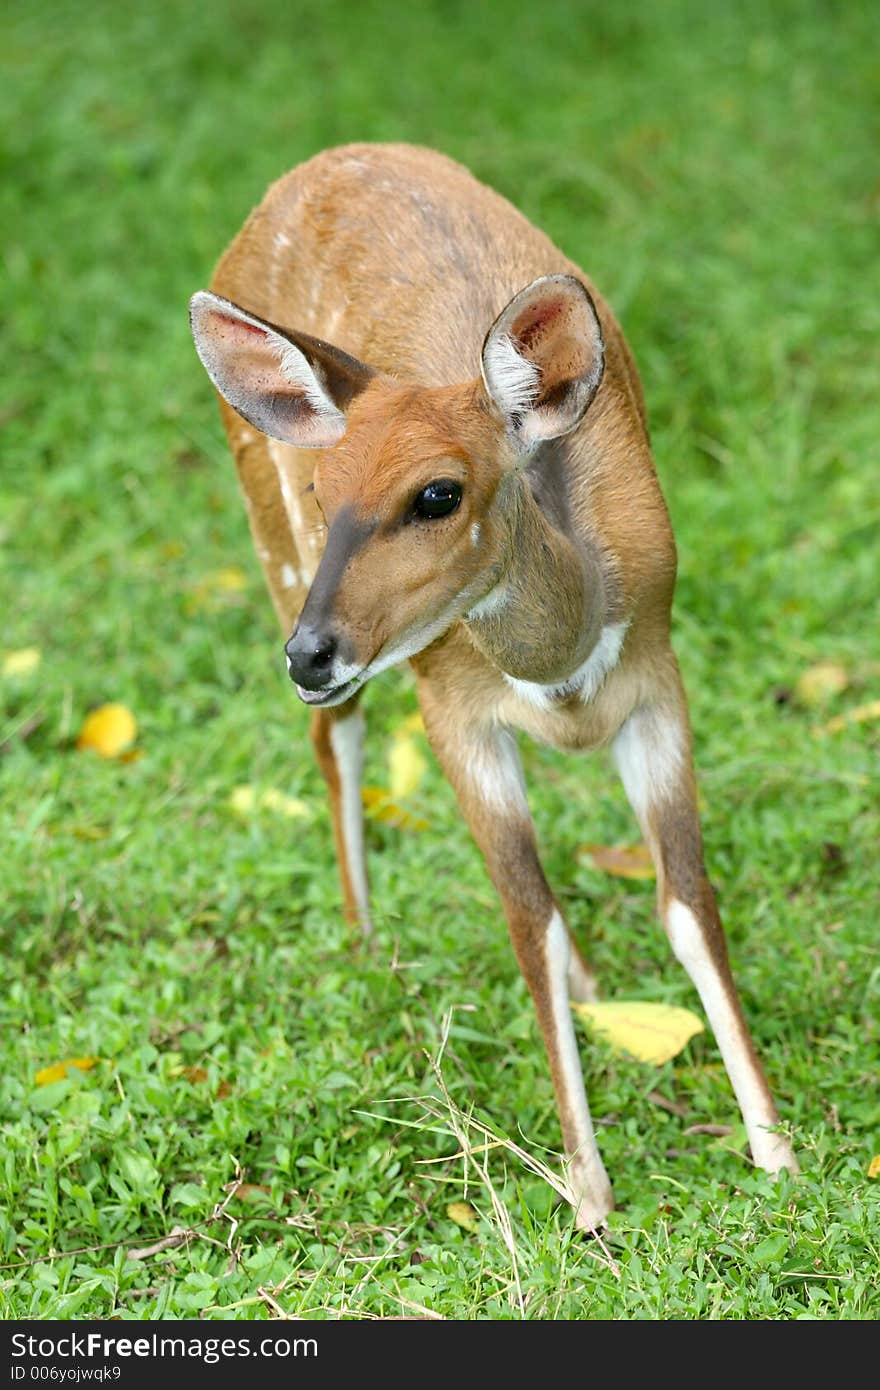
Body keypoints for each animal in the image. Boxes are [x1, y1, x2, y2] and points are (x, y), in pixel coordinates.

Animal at [187, 141, 795, 1228]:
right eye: (321, 488)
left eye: (439, 491)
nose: (310, 654)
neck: (561, 658)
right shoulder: (453, 709)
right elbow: (527, 920)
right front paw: (588, 1190)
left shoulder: (659, 677)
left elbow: (686, 901)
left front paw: (773, 1144)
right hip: (277, 559)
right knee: (337, 741)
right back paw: (364, 938)